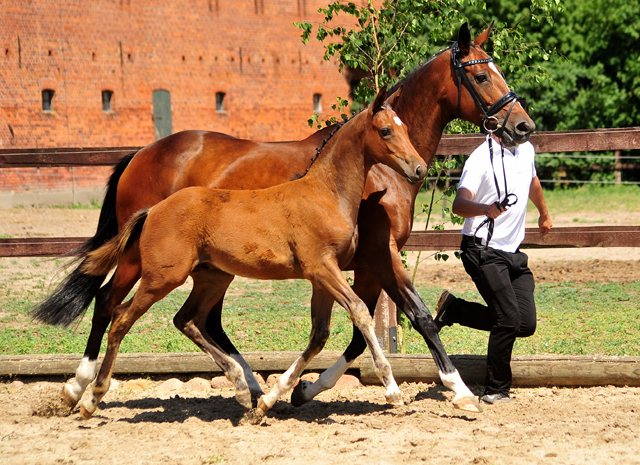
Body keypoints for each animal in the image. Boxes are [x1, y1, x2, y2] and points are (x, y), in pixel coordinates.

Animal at [81, 88, 430, 424]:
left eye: (405, 128)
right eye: (385, 130)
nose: (420, 168)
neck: (326, 194)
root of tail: (153, 210)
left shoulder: (322, 276)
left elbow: (319, 335)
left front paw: (267, 402)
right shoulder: (321, 267)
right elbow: (359, 311)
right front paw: (392, 389)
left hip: (212, 277)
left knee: (186, 320)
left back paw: (240, 386)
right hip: (162, 276)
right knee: (120, 317)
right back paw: (90, 397)